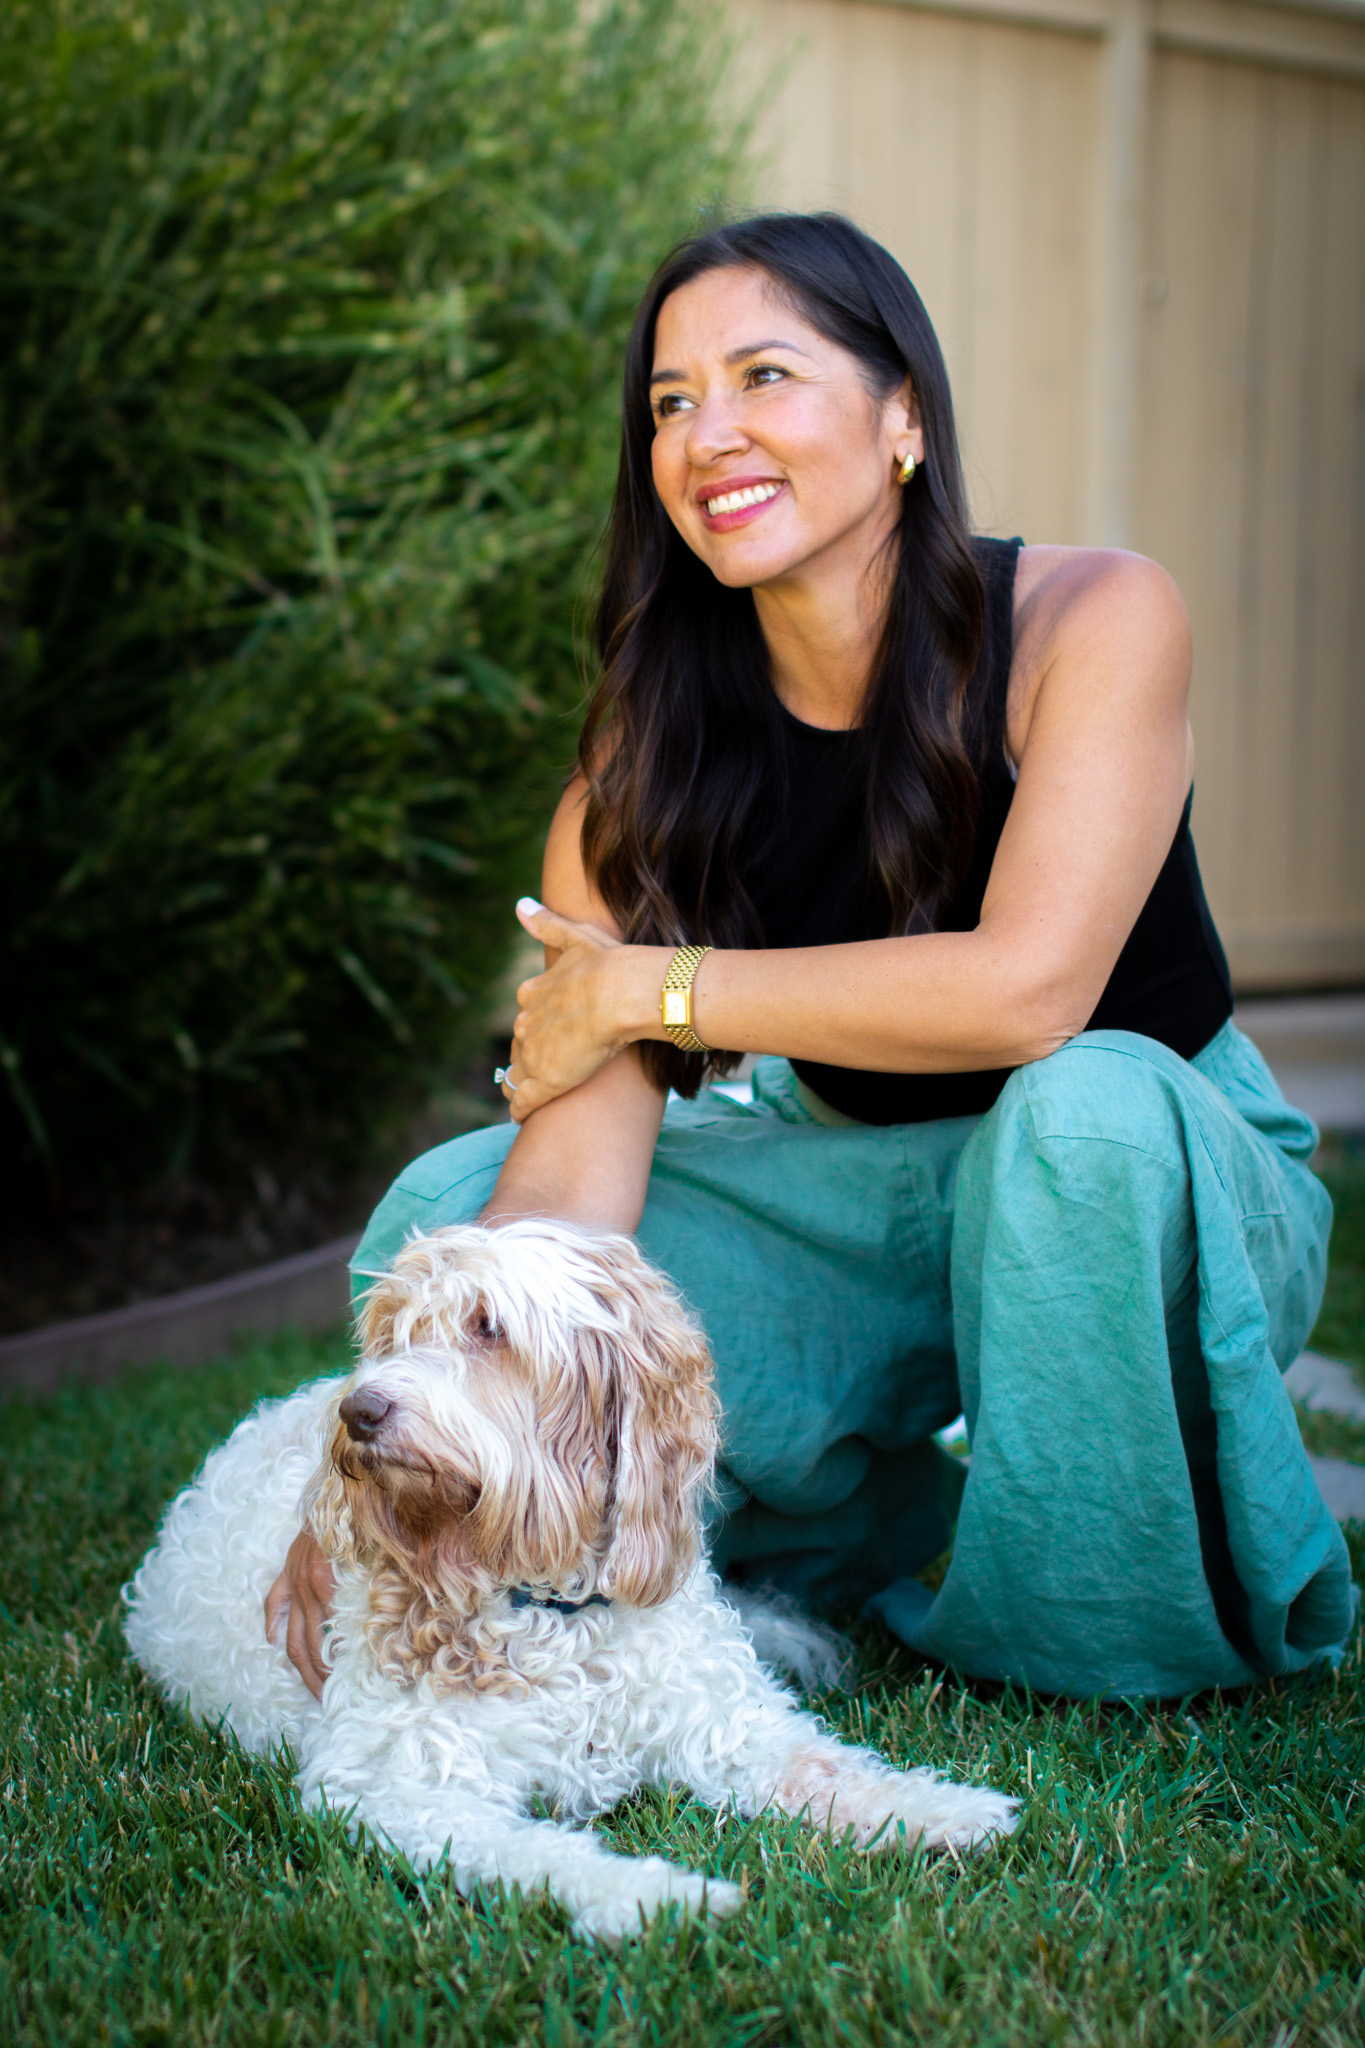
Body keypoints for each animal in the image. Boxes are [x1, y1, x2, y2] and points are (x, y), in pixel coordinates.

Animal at [125, 1218, 1018, 1940]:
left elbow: (826, 1768)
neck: (552, 1607)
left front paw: (944, 1808)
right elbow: (536, 1852)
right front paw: (655, 1897)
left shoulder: (726, 1728)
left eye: (488, 1327)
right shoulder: (396, 1788)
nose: (359, 1412)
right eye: (391, 1335)